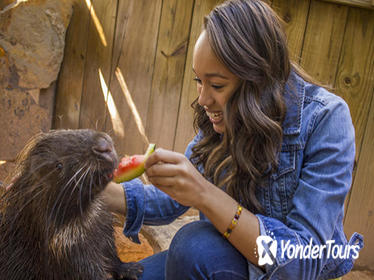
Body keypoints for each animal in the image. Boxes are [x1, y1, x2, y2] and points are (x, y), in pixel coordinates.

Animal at [0, 129, 143, 280]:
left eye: (72, 131)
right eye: (58, 166)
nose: (103, 146)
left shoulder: (104, 230)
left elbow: (112, 256)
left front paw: (132, 269)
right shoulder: (68, 251)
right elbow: (91, 272)